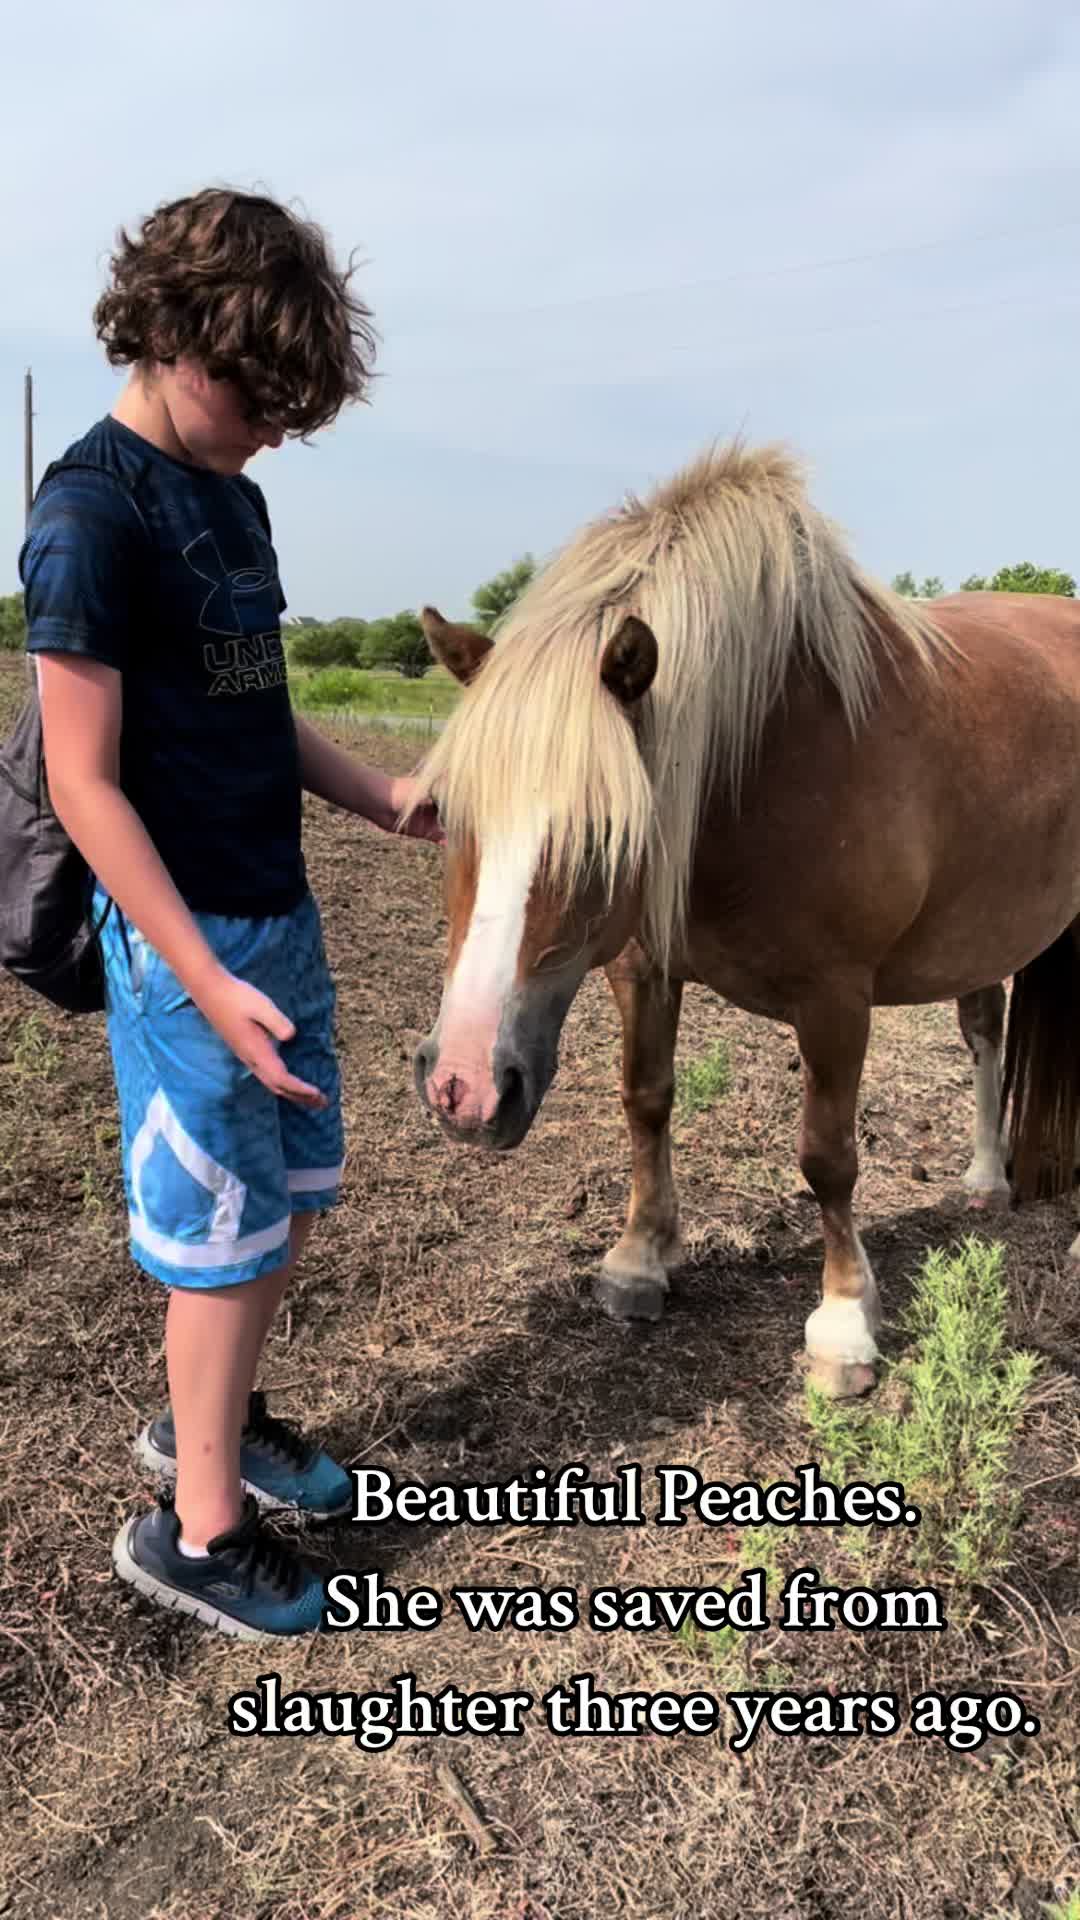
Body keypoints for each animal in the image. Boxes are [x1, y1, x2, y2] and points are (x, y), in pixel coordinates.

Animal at [407, 441, 1080, 1397]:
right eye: (447, 813)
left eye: (607, 833)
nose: (462, 1088)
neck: (756, 759)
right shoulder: (643, 965)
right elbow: (646, 1100)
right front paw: (639, 1260)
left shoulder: (835, 999)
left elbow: (827, 1155)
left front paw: (843, 1325)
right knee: (985, 1029)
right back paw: (986, 1179)